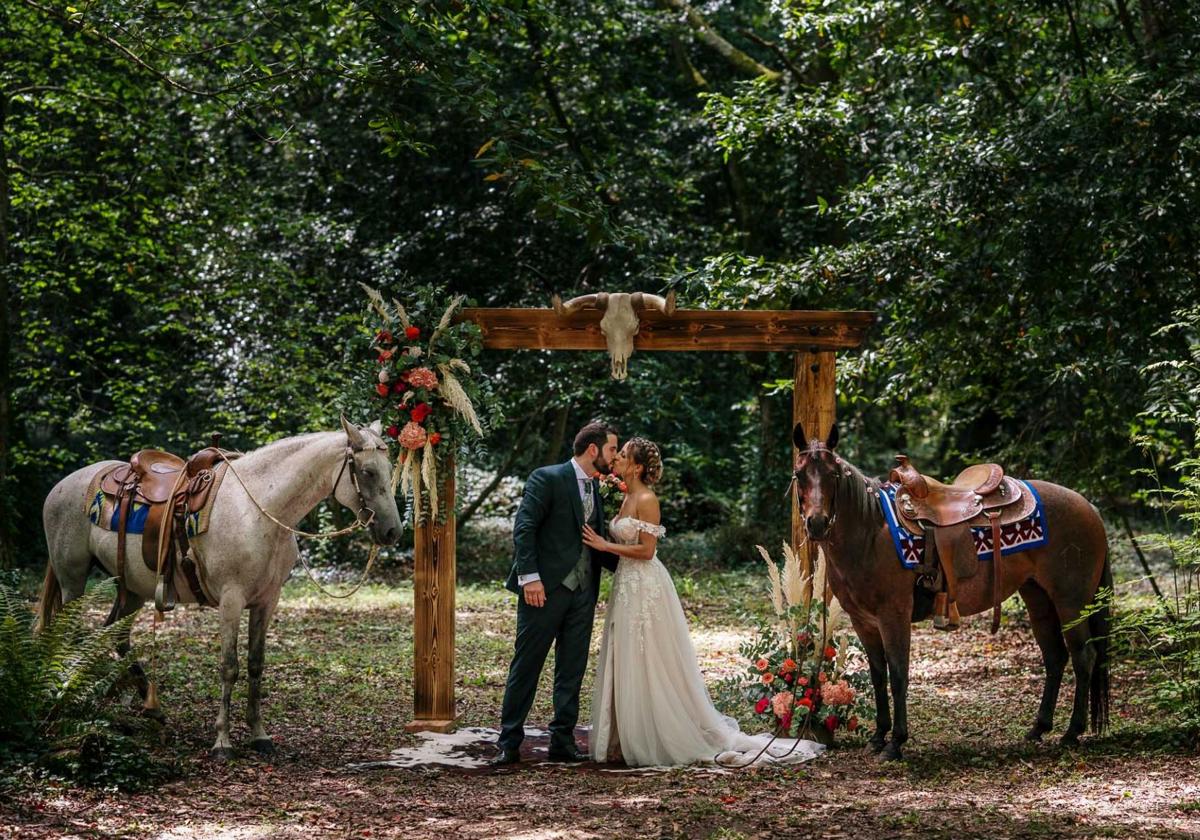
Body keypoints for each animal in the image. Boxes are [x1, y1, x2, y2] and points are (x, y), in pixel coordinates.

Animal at [36, 417, 403, 758]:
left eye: (389, 469)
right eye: (367, 471)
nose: (393, 532)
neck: (259, 510)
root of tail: (60, 486)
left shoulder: (267, 601)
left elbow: (256, 664)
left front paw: (259, 735)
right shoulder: (231, 599)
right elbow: (230, 667)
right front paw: (223, 742)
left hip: (132, 589)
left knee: (113, 635)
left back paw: (148, 704)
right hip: (73, 580)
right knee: (73, 637)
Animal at [792, 422, 1108, 758]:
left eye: (833, 474)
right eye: (799, 474)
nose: (816, 523)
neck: (870, 533)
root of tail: (1089, 508)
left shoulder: (894, 615)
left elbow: (898, 674)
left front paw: (895, 742)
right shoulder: (863, 621)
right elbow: (877, 675)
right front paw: (878, 736)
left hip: (1071, 603)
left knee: (1083, 656)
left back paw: (1072, 732)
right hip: (1038, 598)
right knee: (1055, 656)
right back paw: (1039, 728)